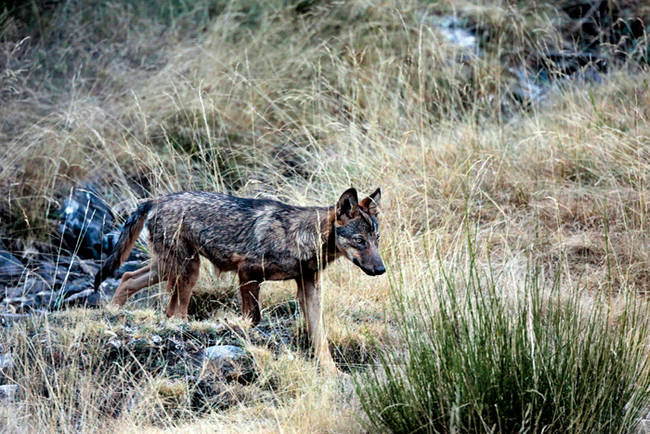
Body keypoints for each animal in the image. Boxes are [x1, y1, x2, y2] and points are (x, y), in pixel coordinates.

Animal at [93, 186, 382, 370]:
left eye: (376, 239)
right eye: (360, 241)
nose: (381, 270)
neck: (299, 236)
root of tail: (155, 200)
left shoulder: (308, 287)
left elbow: (320, 337)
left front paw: (332, 372)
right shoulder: (247, 273)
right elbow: (252, 318)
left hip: (169, 268)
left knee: (128, 277)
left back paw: (113, 312)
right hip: (186, 270)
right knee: (173, 312)